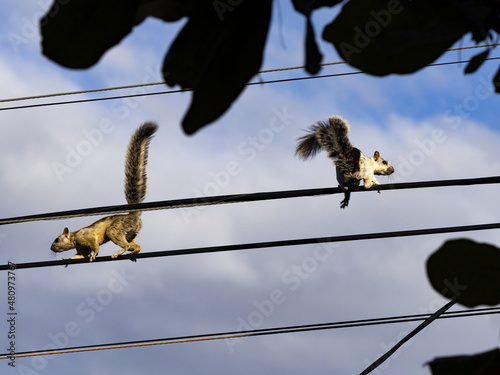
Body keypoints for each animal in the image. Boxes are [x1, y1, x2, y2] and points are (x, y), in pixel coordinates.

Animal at [49, 122, 157, 262]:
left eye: (57, 239)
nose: (51, 248)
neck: (74, 239)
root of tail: (133, 215)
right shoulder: (81, 249)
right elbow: (79, 255)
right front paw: (67, 260)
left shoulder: (87, 236)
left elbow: (95, 245)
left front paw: (94, 254)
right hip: (130, 233)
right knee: (136, 245)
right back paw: (134, 252)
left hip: (115, 230)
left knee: (126, 244)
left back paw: (118, 252)